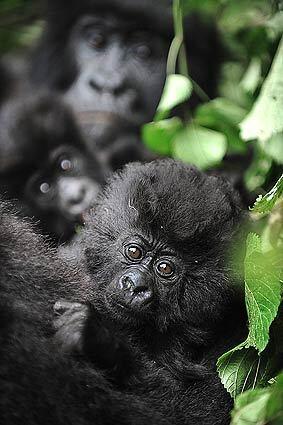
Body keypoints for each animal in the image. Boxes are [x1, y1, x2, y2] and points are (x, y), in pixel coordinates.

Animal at [56, 159, 247, 424]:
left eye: (165, 268)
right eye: (134, 252)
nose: (135, 286)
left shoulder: (236, 327)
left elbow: (190, 414)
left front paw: (99, 339)